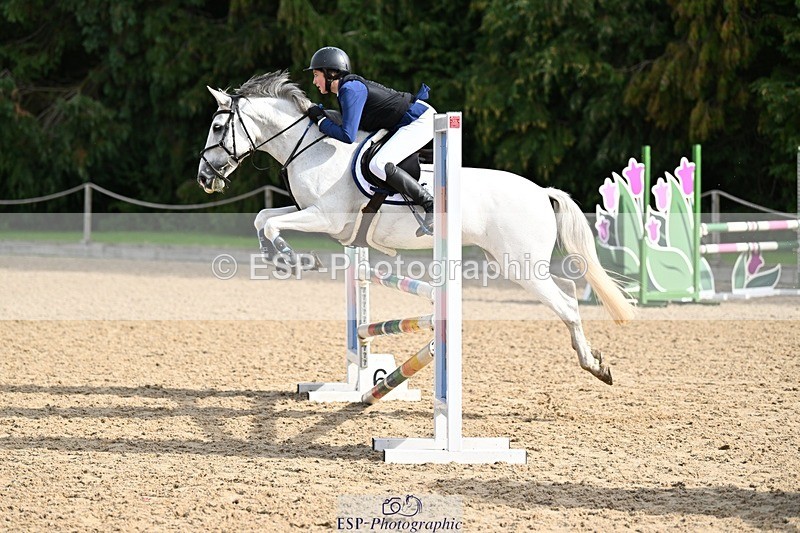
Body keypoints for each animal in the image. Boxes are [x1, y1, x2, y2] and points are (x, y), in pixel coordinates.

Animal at [197, 70, 634, 385]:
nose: (204, 178)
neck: (313, 146)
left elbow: (273, 224)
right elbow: (263, 219)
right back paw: (596, 362)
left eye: (217, 128)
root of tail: (541, 192)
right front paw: (276, 258)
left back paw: (595, 366)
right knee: (569, 295)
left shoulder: (327, 218)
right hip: (518, 262)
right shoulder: (316, 214)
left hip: (520, 264)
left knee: (567, 303)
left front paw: (292, 259)